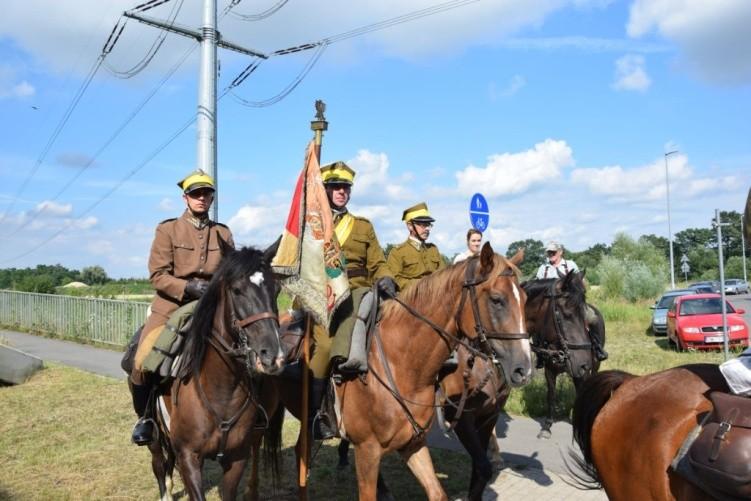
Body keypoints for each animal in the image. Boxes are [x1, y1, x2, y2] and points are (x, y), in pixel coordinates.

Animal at [141, 243, 284, 500]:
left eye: (276, 289)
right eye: (236, 290)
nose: (272, 356)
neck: (221, 390)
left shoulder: (236, 458)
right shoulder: (189, 457)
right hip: (154, 434)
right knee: (157, 461)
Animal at [250, 240, 532, 498]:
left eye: (525, 299)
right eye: (496, 300)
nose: (524, 369)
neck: (402, 365)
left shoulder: (413, 444)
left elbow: (438, 491)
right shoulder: (367, 451)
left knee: (301, 452)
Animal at [524, 270, 600, 438]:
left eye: (584, 312)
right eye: (567, 314)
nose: (585, 364)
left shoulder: (581, 373)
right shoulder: (549, 371)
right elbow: (551, 395)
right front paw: (547, 426)